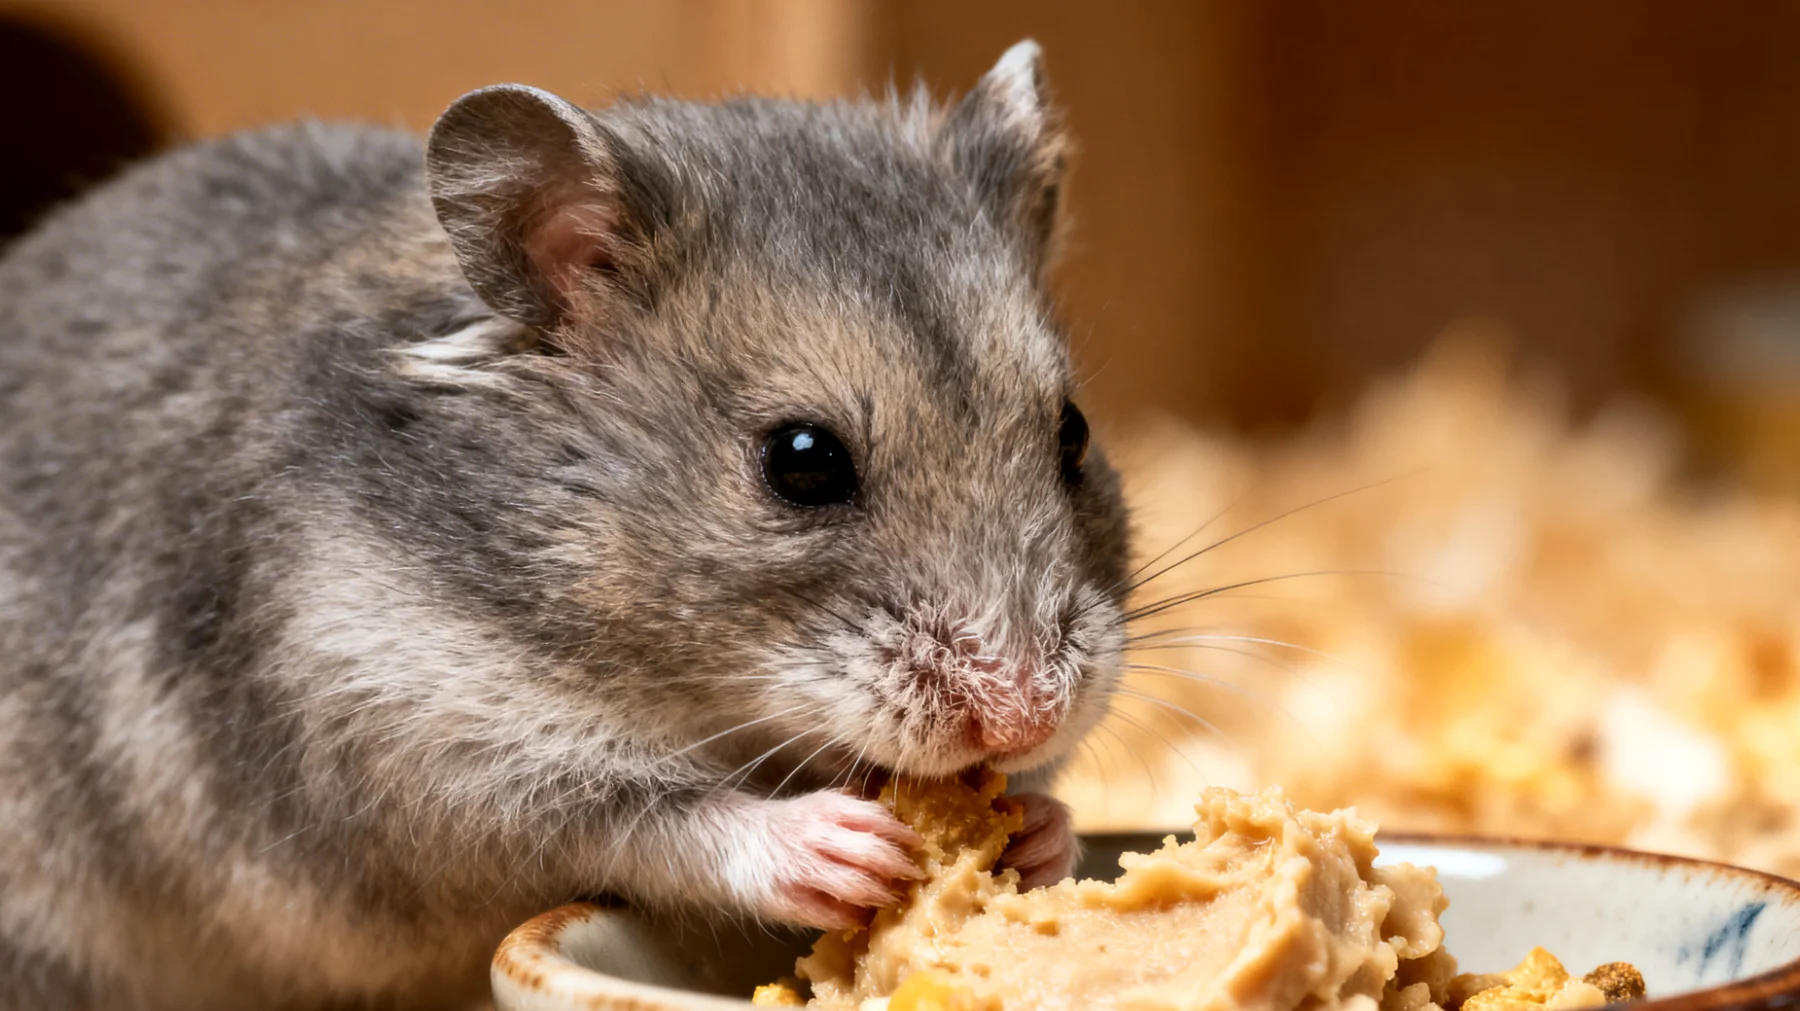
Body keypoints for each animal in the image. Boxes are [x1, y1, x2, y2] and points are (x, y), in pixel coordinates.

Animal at [0, 41, 1129, 1011]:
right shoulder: (418, 754)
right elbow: (652, 820)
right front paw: (845, 848)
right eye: (802, 461)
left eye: (1073, 430)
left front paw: (1039, 833)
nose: (1025, 717)